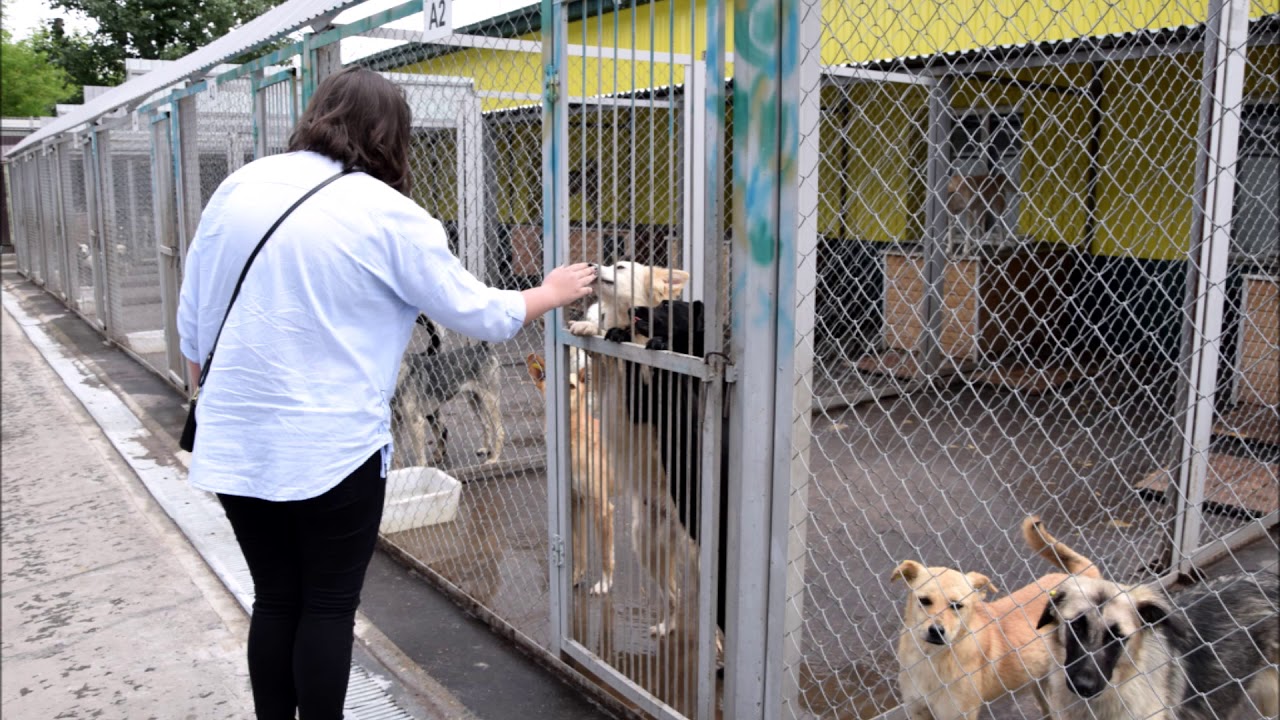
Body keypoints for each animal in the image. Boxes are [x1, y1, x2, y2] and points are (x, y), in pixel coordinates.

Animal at [524, 353, 614, 594]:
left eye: (572, 386)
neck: (574, 436)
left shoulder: (602, 507)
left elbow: (605, 553)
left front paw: (604, 583)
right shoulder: (575, 503)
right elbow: (578, 548)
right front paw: (576, 577)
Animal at [890, 515, 1100, 717]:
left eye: (957, 606)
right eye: (924, 600)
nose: (936, 631)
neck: (930, 658)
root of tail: (1083, 578)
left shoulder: (959, 714)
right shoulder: (917, 710)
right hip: (1041, 686)